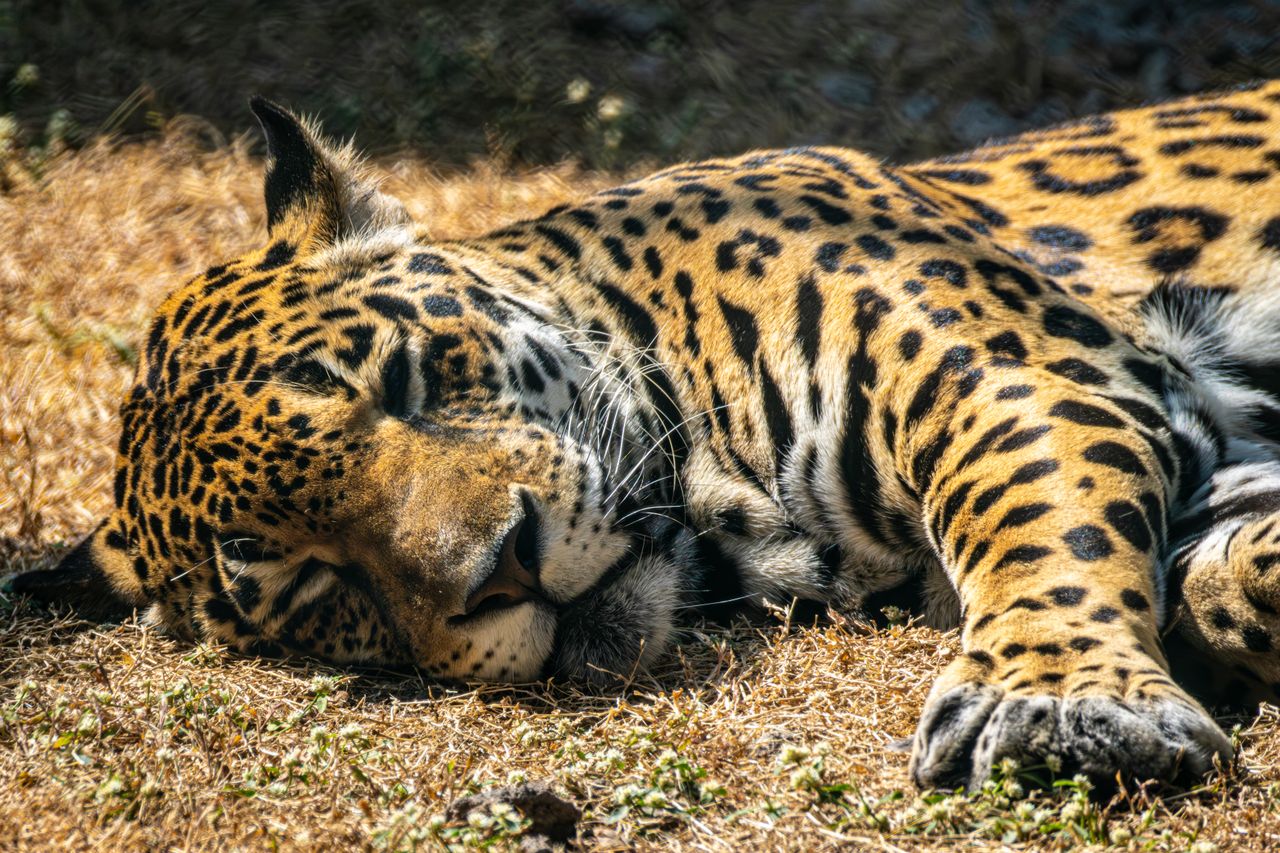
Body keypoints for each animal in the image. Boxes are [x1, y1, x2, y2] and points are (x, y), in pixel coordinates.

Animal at [11, 84, 1280, 792]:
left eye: (402, 376)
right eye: (312, 582)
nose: (502, 567)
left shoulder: (1015, 373)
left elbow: (1030, 517)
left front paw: (1064, 703)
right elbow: (1204, 572)